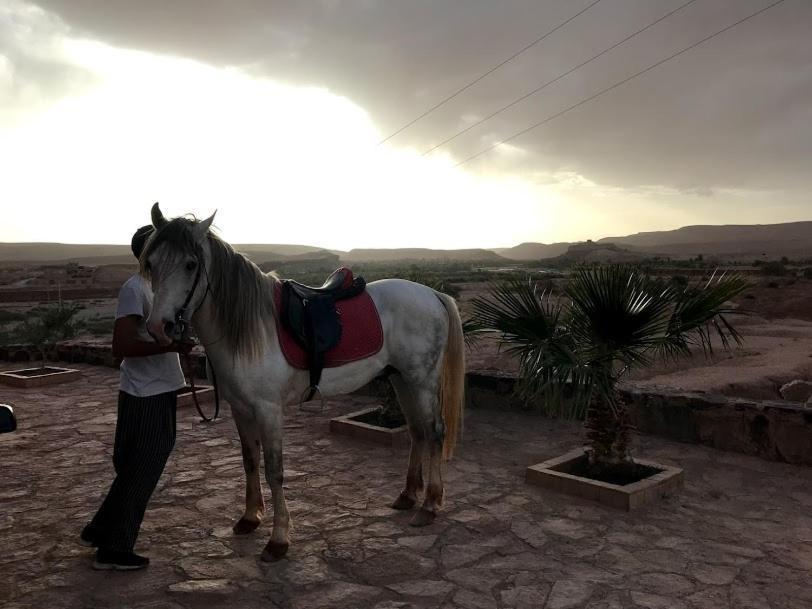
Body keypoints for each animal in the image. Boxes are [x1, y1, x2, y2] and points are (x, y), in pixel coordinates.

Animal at [143, 204, 466, 560]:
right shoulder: (240, 409)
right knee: (417, 431)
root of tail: (432, 293)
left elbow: (274, 470)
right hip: (400, 377)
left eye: (190, 264)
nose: (159, 327)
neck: (250, 330)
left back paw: (430, 504)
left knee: (434, 431)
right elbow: (249, 461)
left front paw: (278, 539)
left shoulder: (268, 410)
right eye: (151, 262)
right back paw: (408, 495)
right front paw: (250, 517)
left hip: (422, 379)